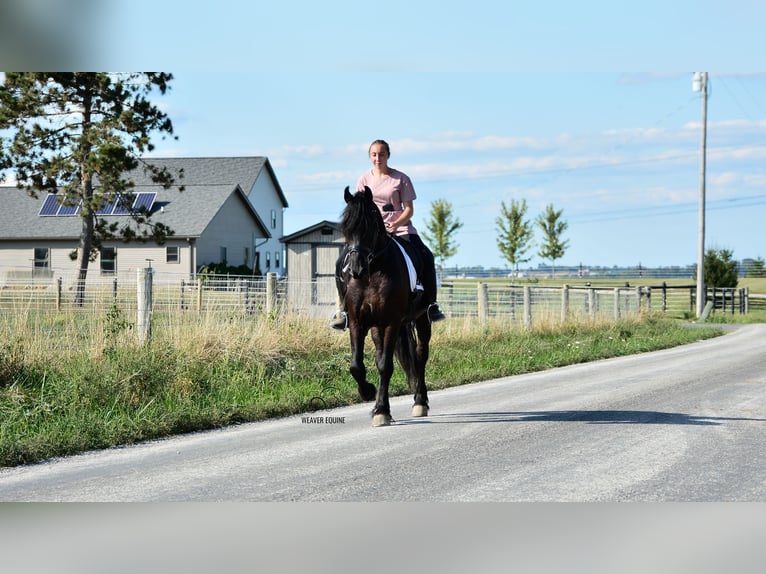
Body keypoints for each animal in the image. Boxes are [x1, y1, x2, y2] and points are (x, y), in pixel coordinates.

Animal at [339, 185, 431, 427]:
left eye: (370, 223)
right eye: (346, 226)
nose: (356, 269)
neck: (374, 272)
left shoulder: (391, 322)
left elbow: (385, 366)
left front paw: (381, 410)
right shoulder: (357, 322)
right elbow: (357, 365)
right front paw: (368, 393)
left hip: (422, 319)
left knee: (420, 356)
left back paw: (420, 402)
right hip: (376, 328)